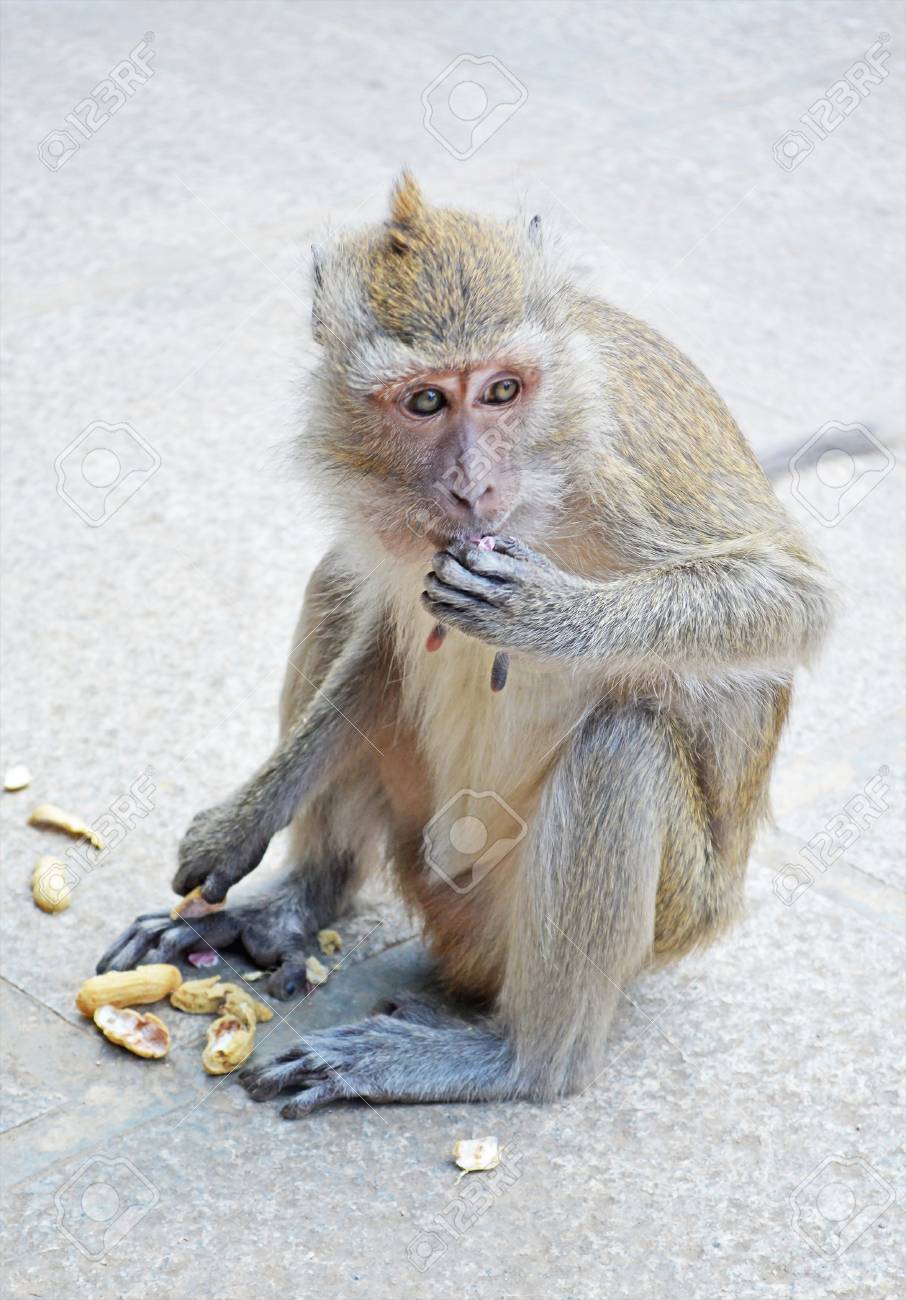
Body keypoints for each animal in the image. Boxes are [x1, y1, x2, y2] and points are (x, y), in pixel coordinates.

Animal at [97, 173, 832, 1116]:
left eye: (502, 391)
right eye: (425, 402)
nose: (473, 484)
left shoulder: (626, 457)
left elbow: (790, 600)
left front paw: (550, 616)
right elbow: (380, 636)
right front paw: (243, 823)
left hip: (657, 915)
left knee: (621, 743)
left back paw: (520, 1061)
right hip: (426, 852)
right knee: (337, 580)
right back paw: (296, 903)